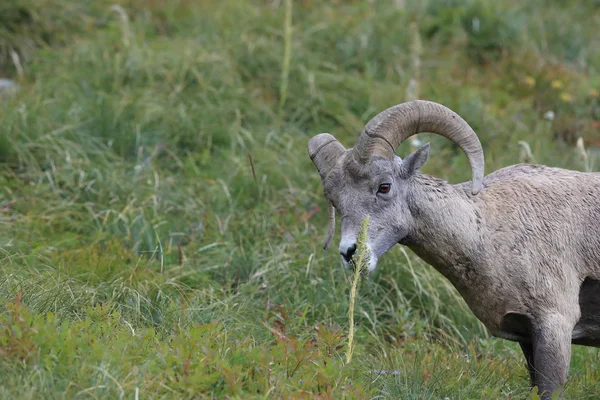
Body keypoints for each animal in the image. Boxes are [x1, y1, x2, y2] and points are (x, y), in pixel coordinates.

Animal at [308, 100, 600, 396]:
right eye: (335, 200)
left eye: (384, 186)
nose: (351, 253)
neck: (487, 232)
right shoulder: (527, 337)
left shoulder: (554, 326)